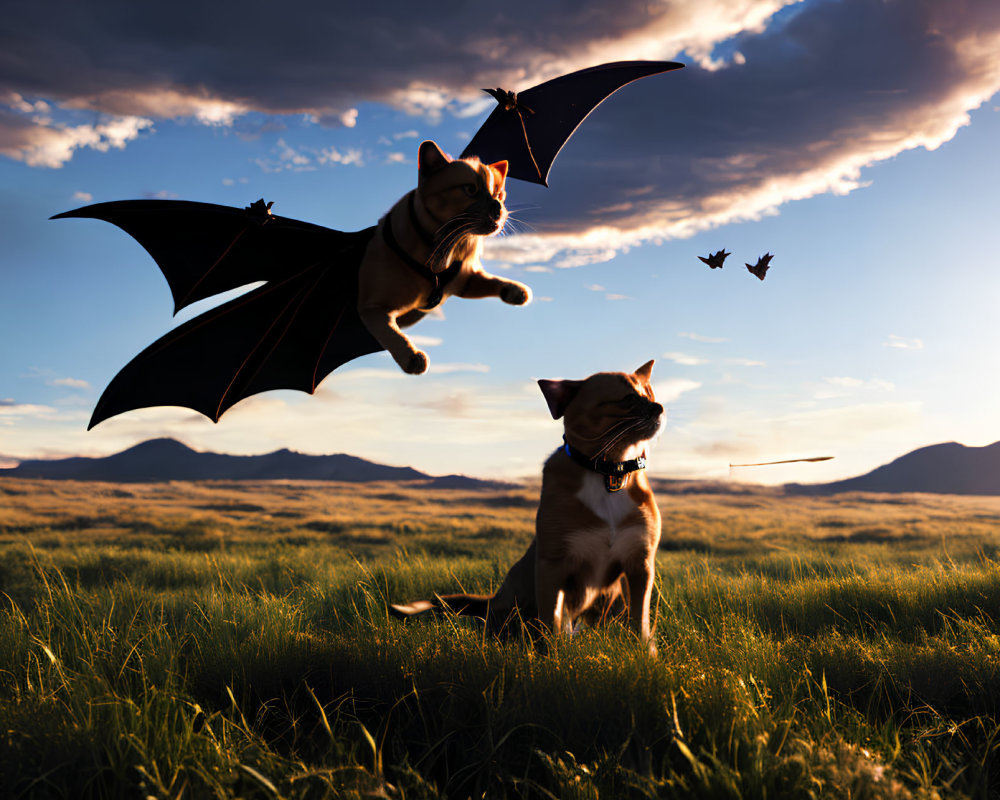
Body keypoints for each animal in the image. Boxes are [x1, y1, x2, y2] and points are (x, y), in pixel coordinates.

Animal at [360, 140, 532, 376]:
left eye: (498, 195)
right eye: (470, 190)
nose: (498, 206)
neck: (446, 247)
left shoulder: (465, 281)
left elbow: (492, 281)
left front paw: (516, 291)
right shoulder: (373, 308)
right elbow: (392, 333)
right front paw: (412, 356)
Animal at [390, 360, 664, 652]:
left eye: (650, 394)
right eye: (628, 398)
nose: (659, 407)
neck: (609, 472)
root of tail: (492, 601)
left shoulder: (640, 564)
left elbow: (640, 619)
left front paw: (645, 653)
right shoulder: (552, 564)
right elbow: (551, 620)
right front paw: (552, 655)